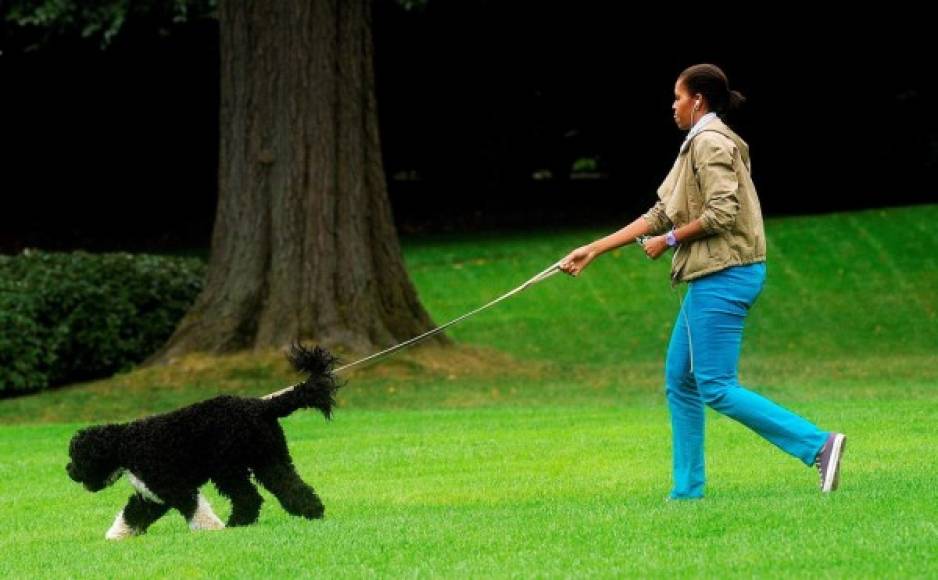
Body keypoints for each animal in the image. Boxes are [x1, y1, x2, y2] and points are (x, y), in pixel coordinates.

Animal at [68, 344, 340, 540]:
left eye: (76, 456)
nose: (68, 470)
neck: (124, 445)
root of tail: (261, 406)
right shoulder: (151, 495)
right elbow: (132, 515)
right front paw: (116, 536)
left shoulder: (173, 486)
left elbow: (195, 509)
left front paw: (212, 528)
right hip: (270, 459)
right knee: (291, 486)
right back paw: (312, 512)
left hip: (228, 468)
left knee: (249, 497)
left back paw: (235, 524)